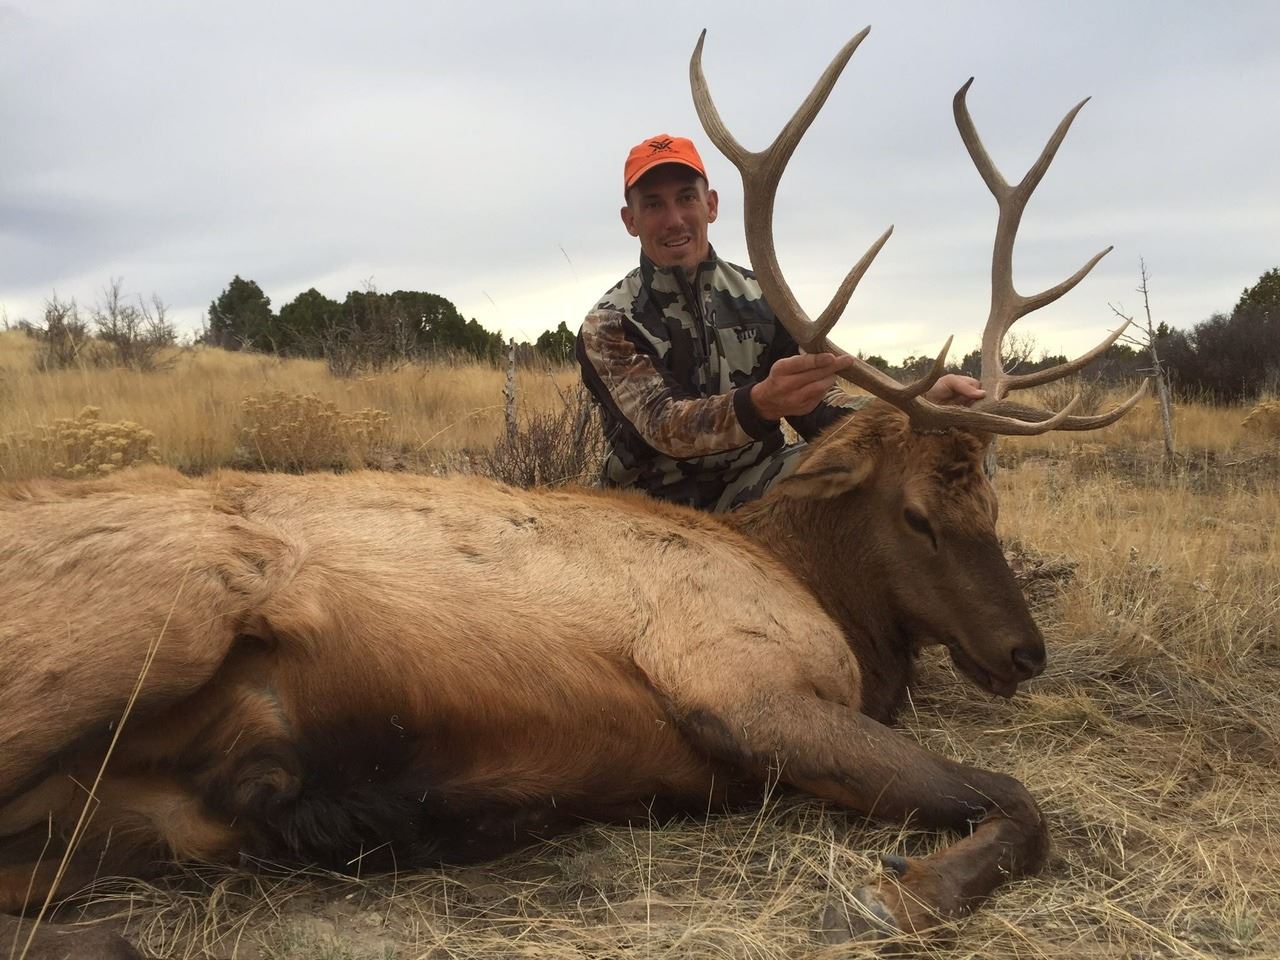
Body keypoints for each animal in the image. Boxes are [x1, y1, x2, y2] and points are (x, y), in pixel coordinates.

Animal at [0, 27, 1143, 959]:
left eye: (991, 504)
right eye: (916, 515)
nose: (1023, 653)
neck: (810, 581)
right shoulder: (736, 678)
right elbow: (1017, 802)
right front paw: (880, 899)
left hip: (122, 815)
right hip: (155, 623)